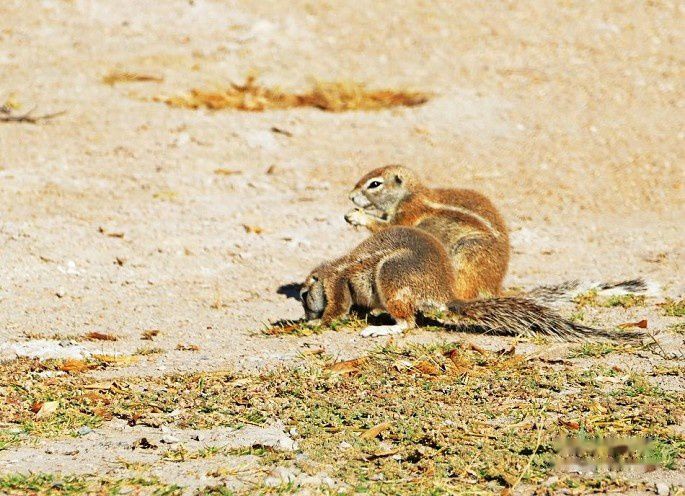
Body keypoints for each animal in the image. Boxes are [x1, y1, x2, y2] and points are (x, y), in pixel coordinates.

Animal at [300, 226, 632, 340]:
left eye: (304, 295)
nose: (305, 315)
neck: (330, 271)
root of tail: (443, 294)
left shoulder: (337, 283)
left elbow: (337, 308)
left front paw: (316, 323)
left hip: (390, 274)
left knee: (408, 323)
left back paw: (382, 329)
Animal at [344, 165, 655, 303]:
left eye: (374, 184)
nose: (350, 196)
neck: (411, 194)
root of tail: (494, 288)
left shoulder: (407, 215)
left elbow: (387, 228)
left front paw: (357, 216)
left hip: (464, 257)